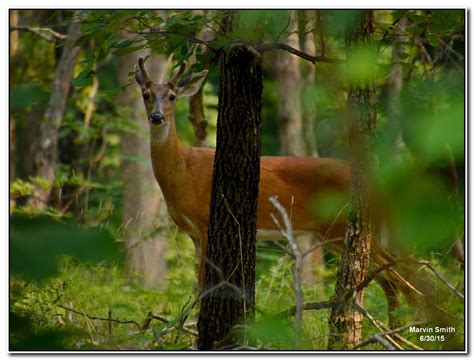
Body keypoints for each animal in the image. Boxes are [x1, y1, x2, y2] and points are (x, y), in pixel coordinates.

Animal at [132, 57, 414, 322]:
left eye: (172, 96)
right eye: (146, 95)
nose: (156, 117)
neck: (182, 169)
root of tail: (378, 182)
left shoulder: (204, 222)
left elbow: (203, 286)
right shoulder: (192, 233)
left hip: (348, 228)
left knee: (404, 276)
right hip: (339, 234)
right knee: (391, 281)